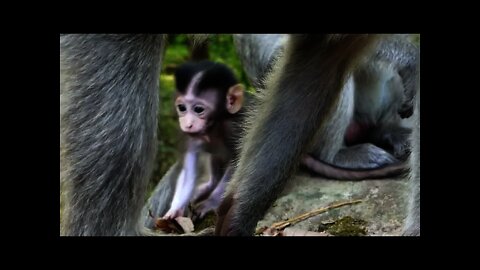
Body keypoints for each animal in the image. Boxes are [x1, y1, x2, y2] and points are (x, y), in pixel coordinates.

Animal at [163, 60, 246, 219]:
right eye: (182, 108)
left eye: (198, 109)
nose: (188, 123)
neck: (213, 126)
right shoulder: (187, 136)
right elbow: (188, 168)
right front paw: (175, 209)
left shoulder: (235, 128)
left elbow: (237, 164)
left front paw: (210, 204)